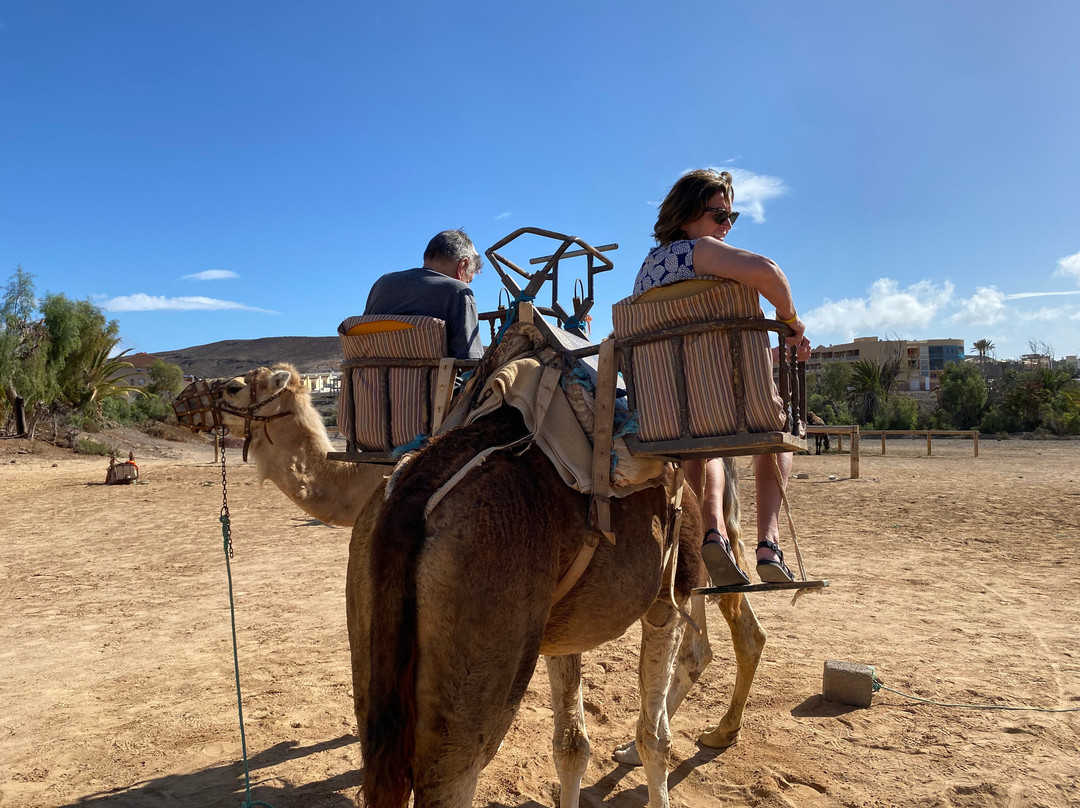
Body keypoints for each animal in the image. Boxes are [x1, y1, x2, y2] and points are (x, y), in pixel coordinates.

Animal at [185, 363, 769, 807]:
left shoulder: (652, 601)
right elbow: (585, 745)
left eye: (233, 388)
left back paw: (717, 731)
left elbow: (622, 743)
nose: (184, 400)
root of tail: (409, 498)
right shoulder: (578, 623)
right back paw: (705, 732)